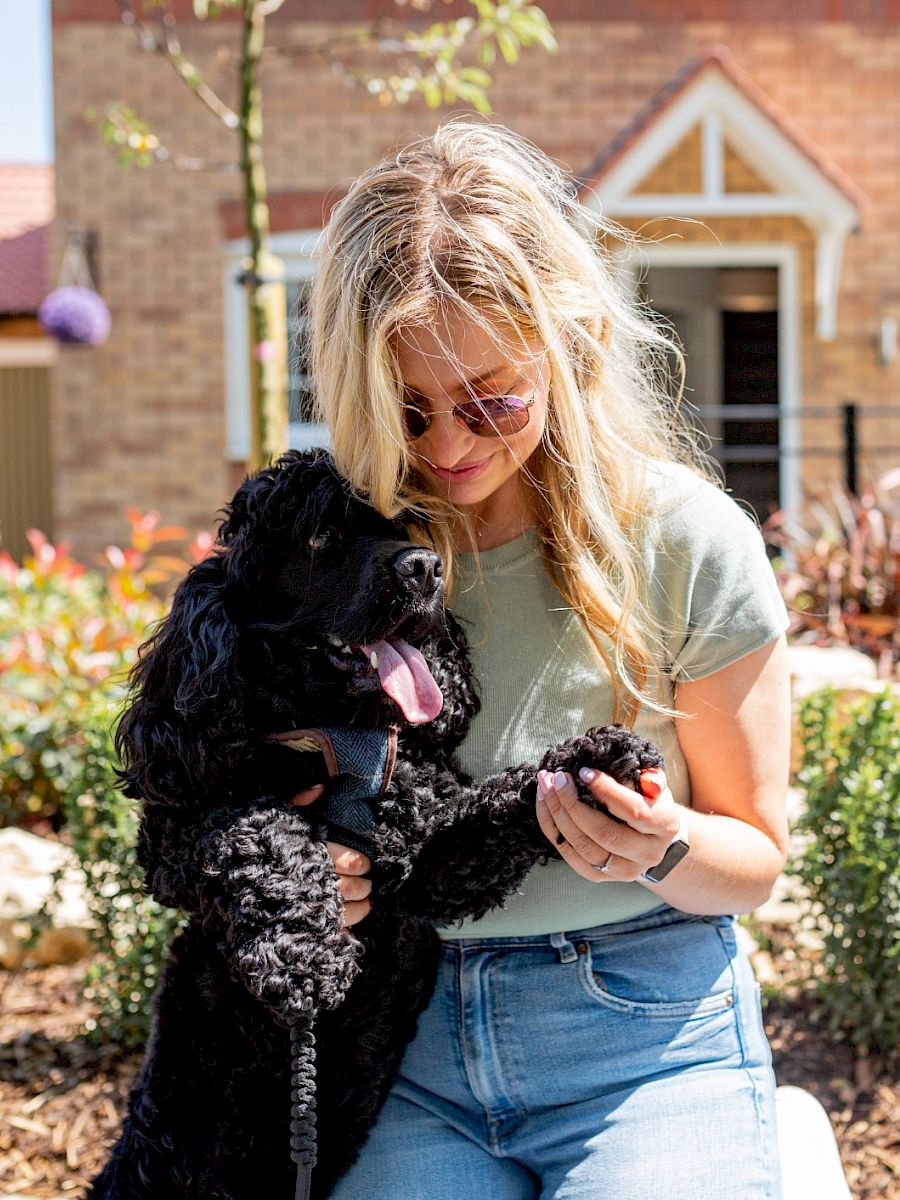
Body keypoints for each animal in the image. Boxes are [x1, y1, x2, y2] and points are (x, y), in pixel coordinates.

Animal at [91, 451, 667, 1200]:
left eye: (403, 528)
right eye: (320, 540)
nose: (425, 569)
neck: (345, 740)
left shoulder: (428, 864)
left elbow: (500, 805)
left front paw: (593, 760)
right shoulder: (173, 829)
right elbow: (258, 827)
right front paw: (307, 960)